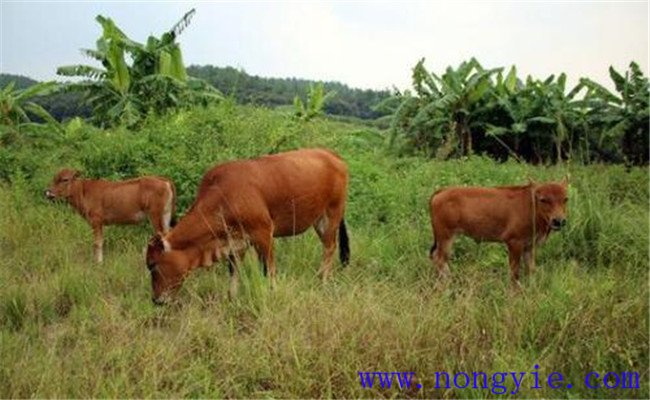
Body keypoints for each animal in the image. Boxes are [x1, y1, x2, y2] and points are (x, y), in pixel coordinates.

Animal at [45, 168, 175, 264]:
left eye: (65, 179)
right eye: (54, 178)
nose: (48, 192)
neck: (83, 191)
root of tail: (164, 180)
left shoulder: (96, 221)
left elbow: (97, 243)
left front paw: (99, 263)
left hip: (155, 216)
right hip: (165, 215)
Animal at [146, 148, 350, 304]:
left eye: (153, 265)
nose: (156, 300)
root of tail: (331, 154)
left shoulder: (264, 234)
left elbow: (269, 271)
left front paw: (272, 295)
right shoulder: (236, 242)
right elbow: (233, 272)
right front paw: (231, 298)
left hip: (331, 215)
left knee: (330, 247)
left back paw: (322, 280)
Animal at [430, 178, 568, 284]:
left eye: (565, 199)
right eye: (543, 199)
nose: (558, 221)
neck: (531, 205)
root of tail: (441, 192)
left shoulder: (529, 246)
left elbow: (531, 269)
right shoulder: (514, 243)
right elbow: (514, 272)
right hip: (446, 237)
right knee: (440, 259)